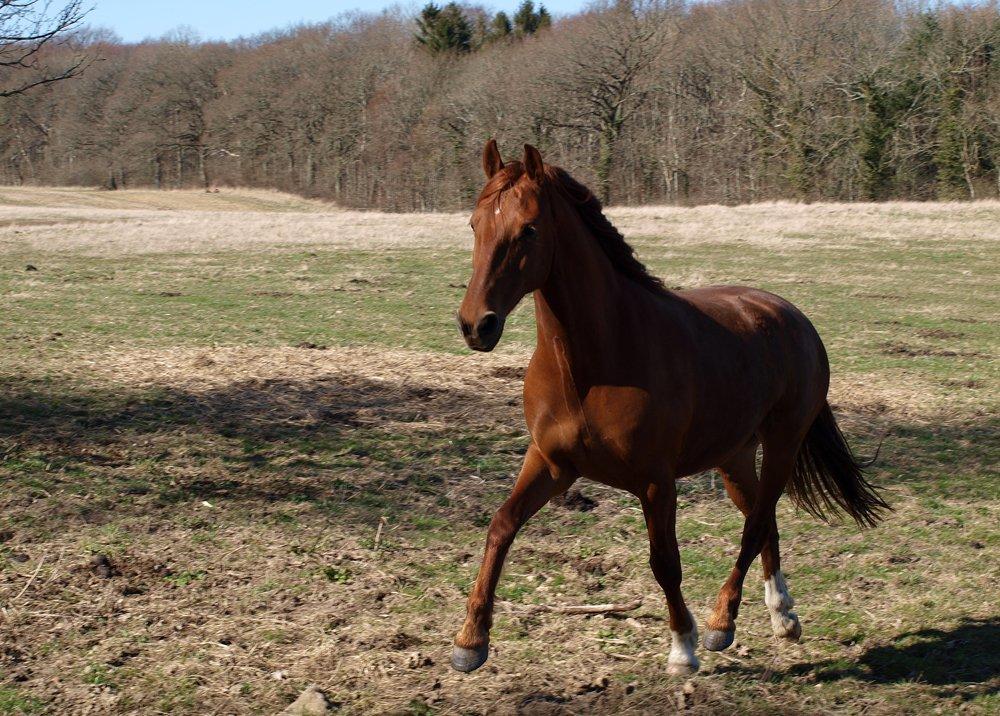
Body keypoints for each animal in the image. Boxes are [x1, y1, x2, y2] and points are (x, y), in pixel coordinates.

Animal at [450, 141, 888, 676]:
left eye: (529, 229)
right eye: (474, 224)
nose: (477, 325)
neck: (593, 363)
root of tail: (793, 316)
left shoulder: (655, 482)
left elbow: (664, 561)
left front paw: (683, 646)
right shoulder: (551, 463)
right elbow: (501, 527)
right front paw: (470, 642)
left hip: (782, 446)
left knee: (757, 524)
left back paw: (723, 623)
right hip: (734, 457)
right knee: (763, 520)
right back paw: (782, 615)